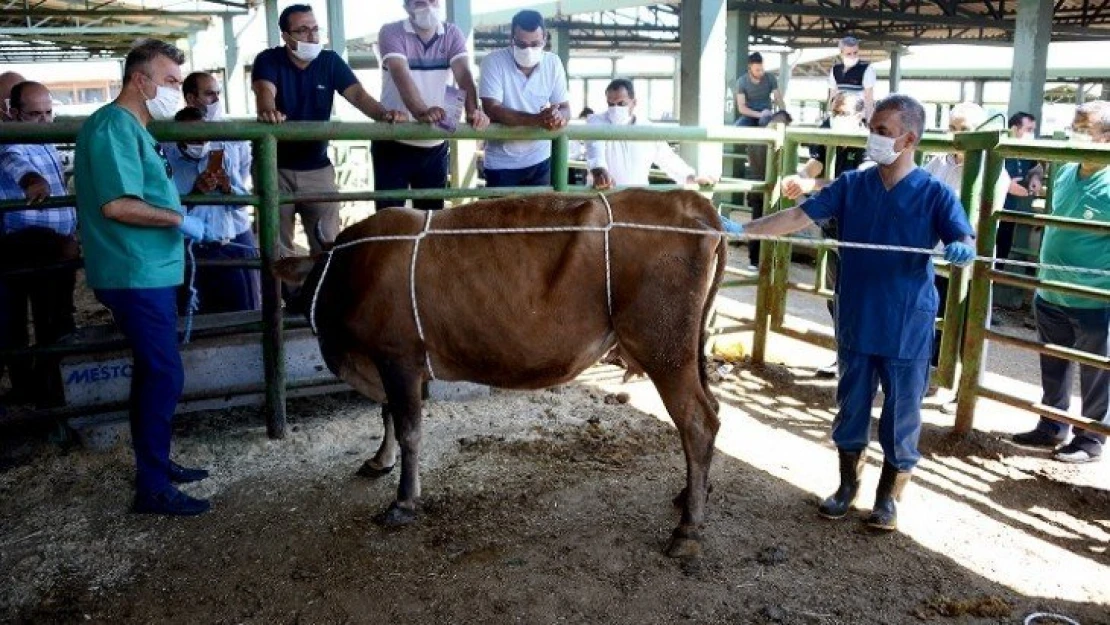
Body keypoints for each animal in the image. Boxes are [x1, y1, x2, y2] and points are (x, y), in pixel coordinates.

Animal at [275, 189, 728, 557]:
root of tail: (692, 203)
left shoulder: (396, 357)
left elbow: (408, 430)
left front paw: (403, 501)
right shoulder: (389, 364)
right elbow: (386, 414)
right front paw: (378, 461)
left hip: (665, 351)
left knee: (697, 423)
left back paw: (688, 530)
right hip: (687, 353)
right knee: (712, 411)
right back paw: (693, 494)